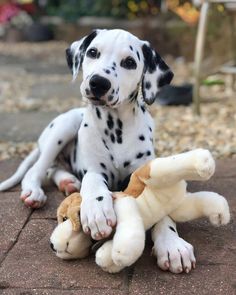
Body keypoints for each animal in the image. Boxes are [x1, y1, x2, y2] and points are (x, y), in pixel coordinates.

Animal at [0, 28, 195, 274]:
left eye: (129, 62)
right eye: (93, 52)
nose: (98, 83)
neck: (116, 128)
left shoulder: (145, 171)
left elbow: (163, 211)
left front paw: (172, 245)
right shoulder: (94, 170)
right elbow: (93, 183)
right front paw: (97, 210)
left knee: (53, 169)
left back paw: (68, 182)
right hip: (63, 127)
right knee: (37, 169)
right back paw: (34, 191)